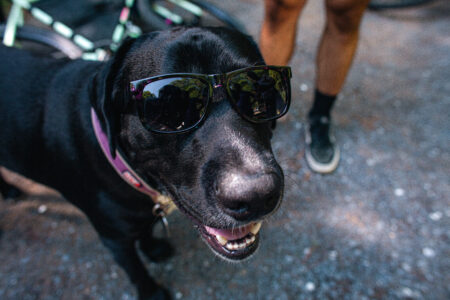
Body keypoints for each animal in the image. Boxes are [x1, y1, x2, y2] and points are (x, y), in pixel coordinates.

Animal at [0, 27, 288, 298]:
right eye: (169, 108)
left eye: (259, 92)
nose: (256, 195)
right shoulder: (114, 238)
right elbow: (135, 269)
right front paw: (152, 293)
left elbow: (146, 231)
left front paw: (152, 247)